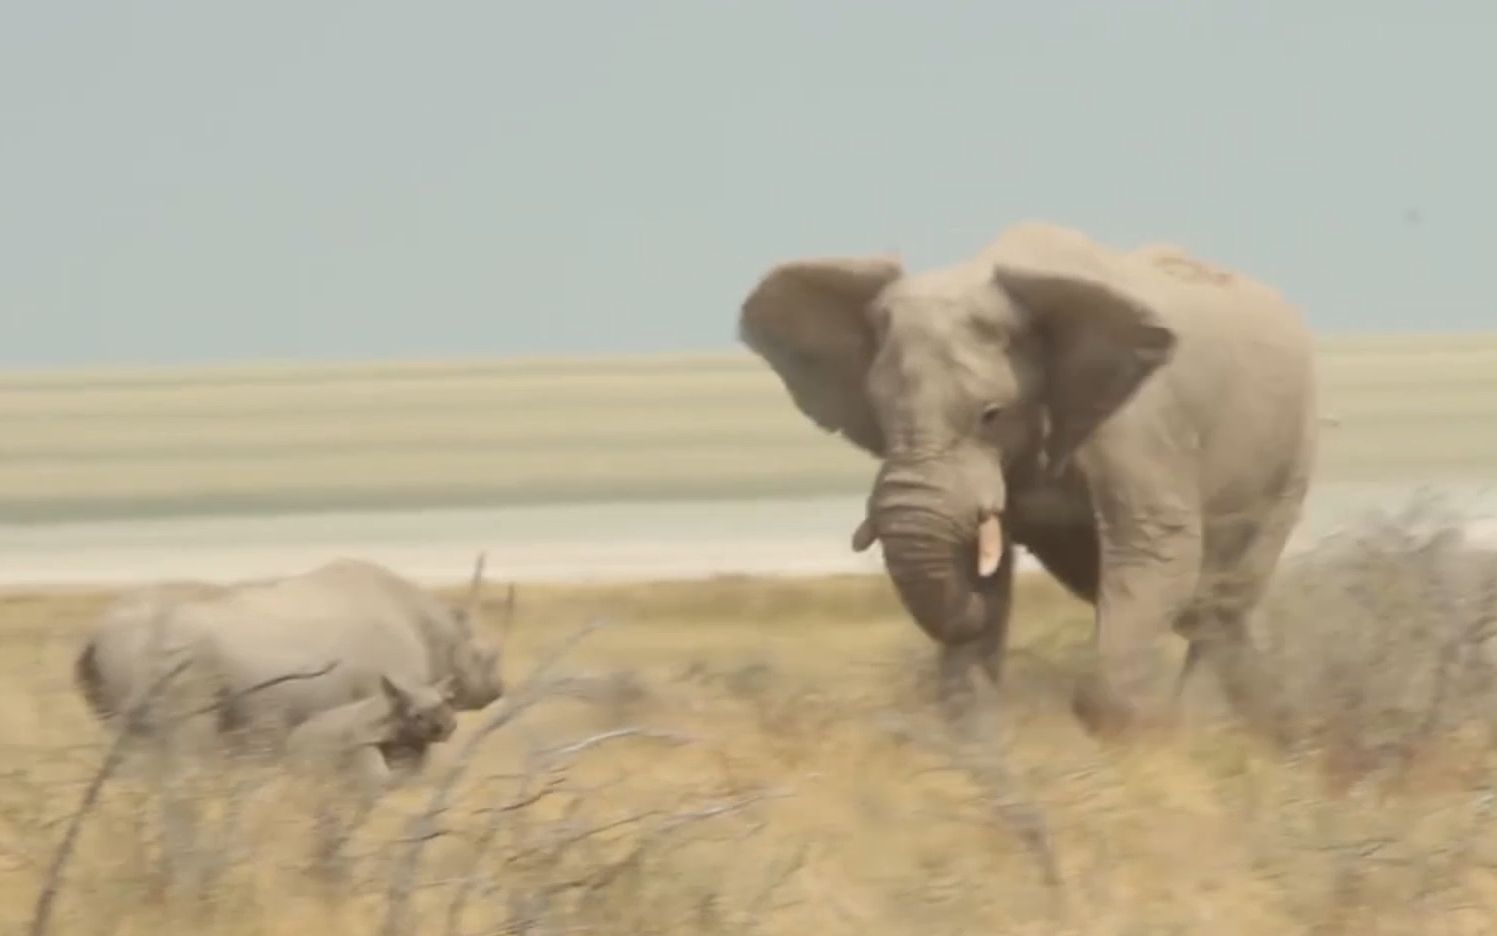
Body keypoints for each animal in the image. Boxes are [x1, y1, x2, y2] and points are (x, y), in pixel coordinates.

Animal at [742, 220, 1317, 736]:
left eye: (991, 414)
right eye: (879, 415)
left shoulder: (1138, 425)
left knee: (1218, 603)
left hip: (1292, 453)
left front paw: (1144, 735)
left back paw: (1210, 724)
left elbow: (1155, 549)